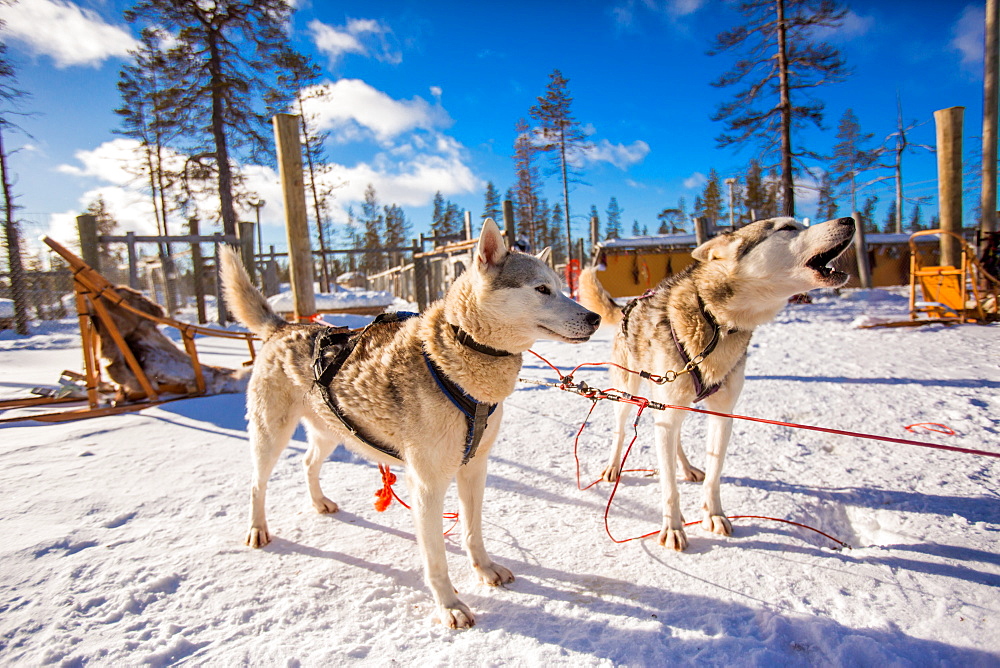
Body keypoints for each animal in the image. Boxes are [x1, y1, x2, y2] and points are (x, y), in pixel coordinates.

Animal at [221, 218, 592, 628]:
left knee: (307, 463)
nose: (594, 317)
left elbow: (472, 531)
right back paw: (257, 530)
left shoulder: (474, 468)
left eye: (560, 286)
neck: (459, 357)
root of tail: (283, 327)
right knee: (257, 484)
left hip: (331, 433)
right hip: (271, 435)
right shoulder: (428, 484)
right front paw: (449, 605)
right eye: (542, 289)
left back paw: (319, 503)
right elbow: (436, 558)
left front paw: (484, 569)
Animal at [580, 217, 852, 552]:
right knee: (621, 430)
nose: (849, 220)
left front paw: (714, 514)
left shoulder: (722, 414)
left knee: (675, 437)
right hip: (630, 390)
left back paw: (686, 467)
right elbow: (669, 486)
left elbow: (714, 473)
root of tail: (629, 305)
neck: (717, 321)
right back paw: (614, 466)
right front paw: (672, 527)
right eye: (787, 228)